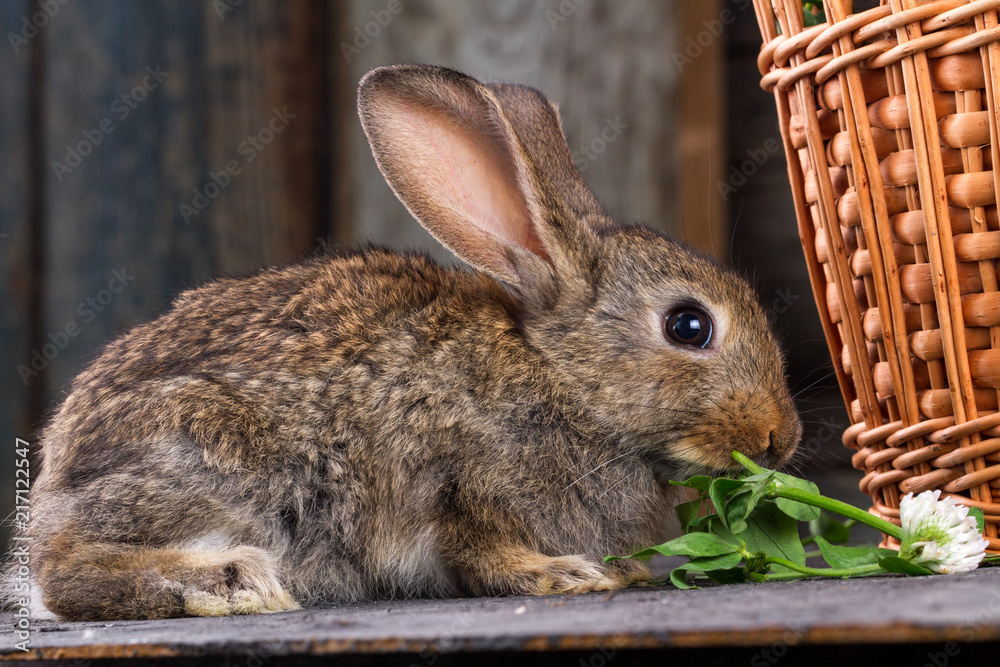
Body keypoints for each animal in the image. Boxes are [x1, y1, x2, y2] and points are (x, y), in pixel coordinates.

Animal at [14, 64, 802, 621]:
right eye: (689, 326)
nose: (780, 439)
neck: (563, 377)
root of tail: (50, 489)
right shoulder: (460, 482)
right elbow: (482, 552)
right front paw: (565, 575)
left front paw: (622, 568)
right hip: (212, 462)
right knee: (67, 575)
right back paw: (234, 584)